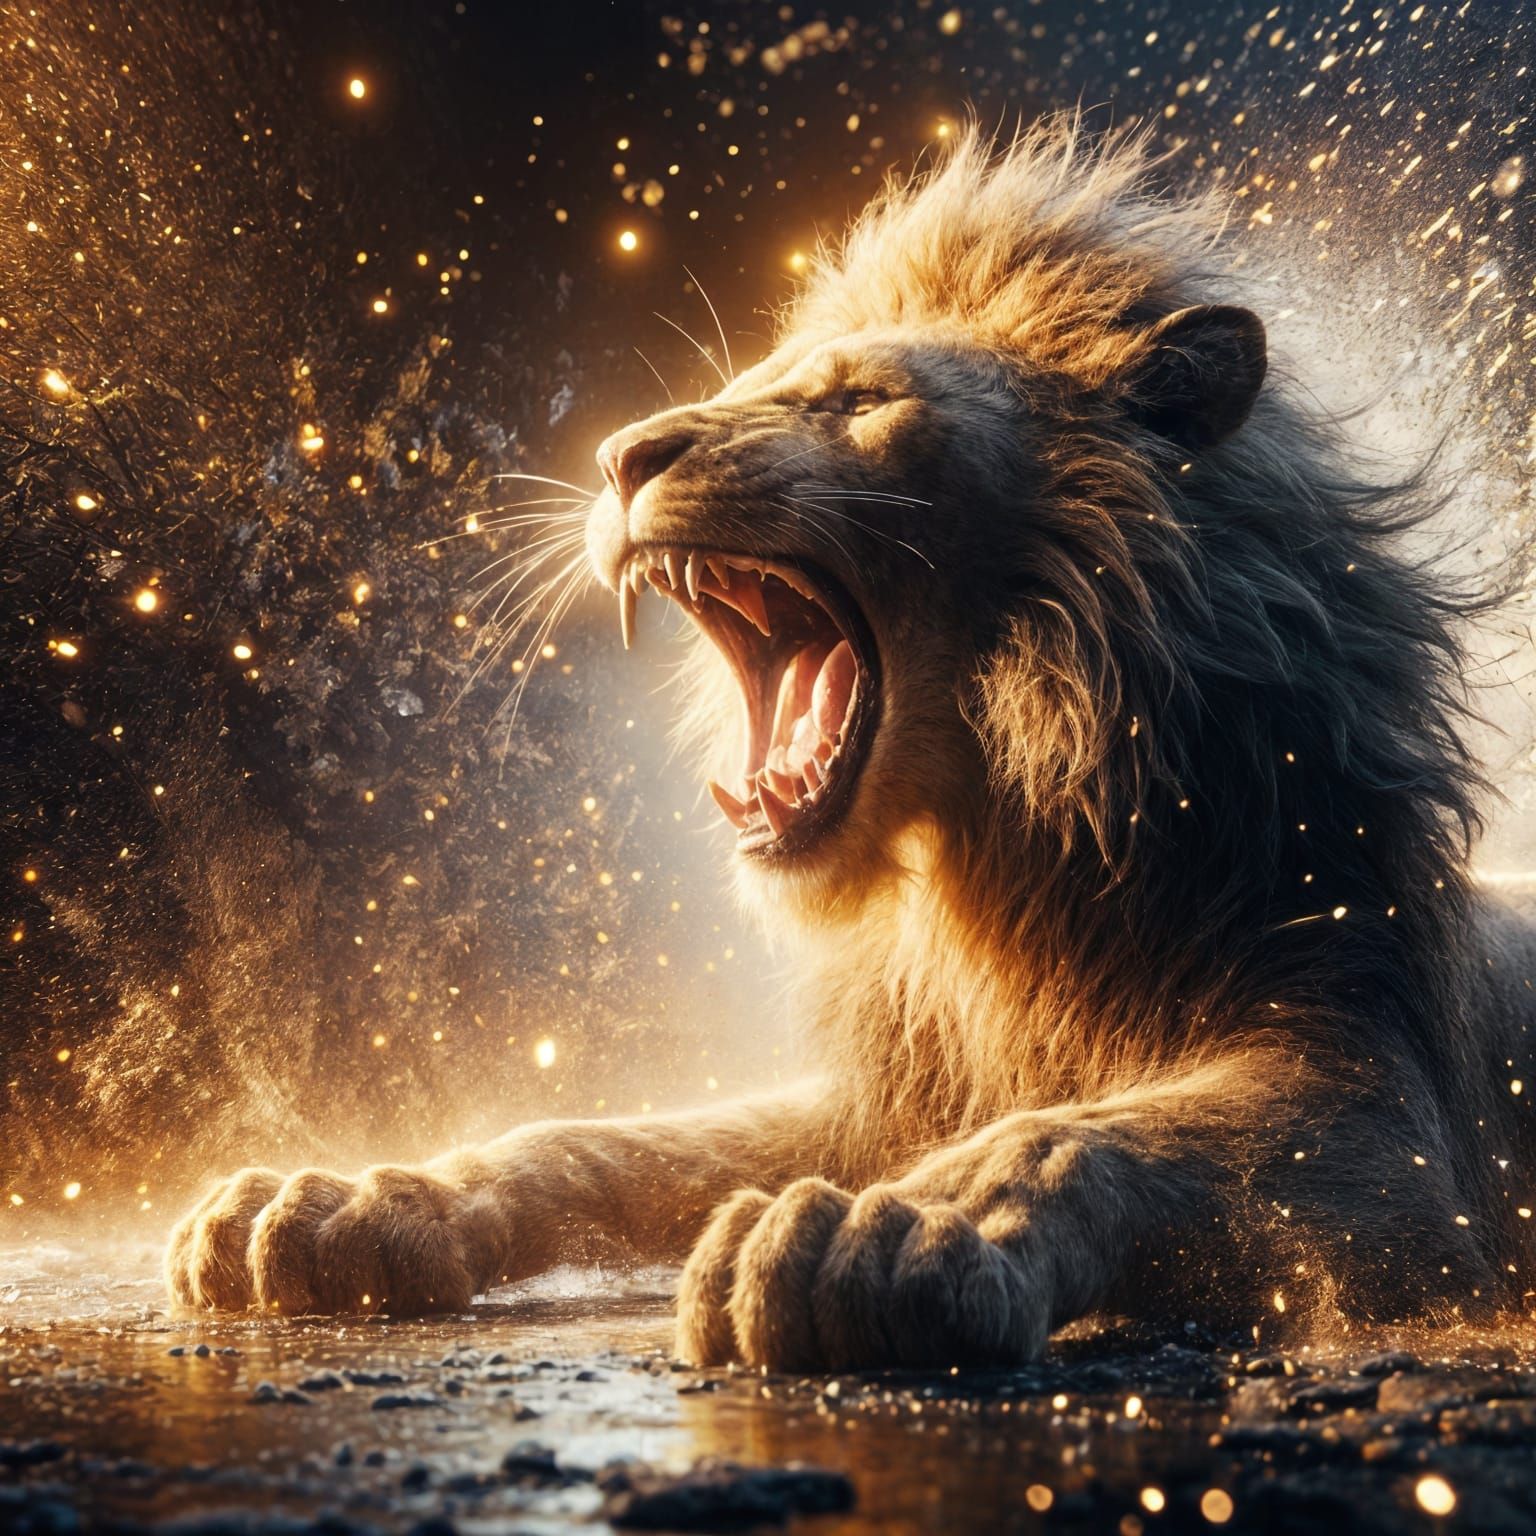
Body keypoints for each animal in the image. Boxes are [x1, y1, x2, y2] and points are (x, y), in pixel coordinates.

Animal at [167, 121, 1536, 1368]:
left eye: (861, 401)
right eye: (750, 387)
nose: (620, 454)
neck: (1001, 863)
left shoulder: (1391, 1128)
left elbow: (1075, 1132)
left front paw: (891, 1231)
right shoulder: (885, 1090)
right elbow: (599, 1139)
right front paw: (348, 1201)